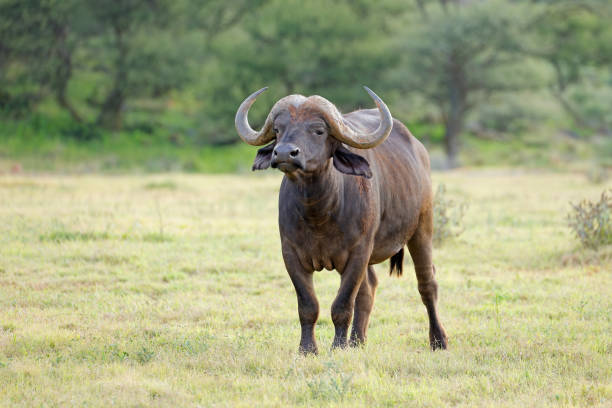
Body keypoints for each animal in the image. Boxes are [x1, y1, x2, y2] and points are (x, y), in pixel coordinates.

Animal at [237, 87, 448, 354]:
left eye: (318, 130)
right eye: (278, 129)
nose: (284, 153)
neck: (319, 213)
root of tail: (420, 152)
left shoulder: (358, 252)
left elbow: (342, 304)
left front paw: (338, 346)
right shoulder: (290, 254)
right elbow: (308, 305)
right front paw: (308, 349)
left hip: (422, 228)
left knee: (427, 283)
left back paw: (438, 340)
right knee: (369, 289)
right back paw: (357, 341)